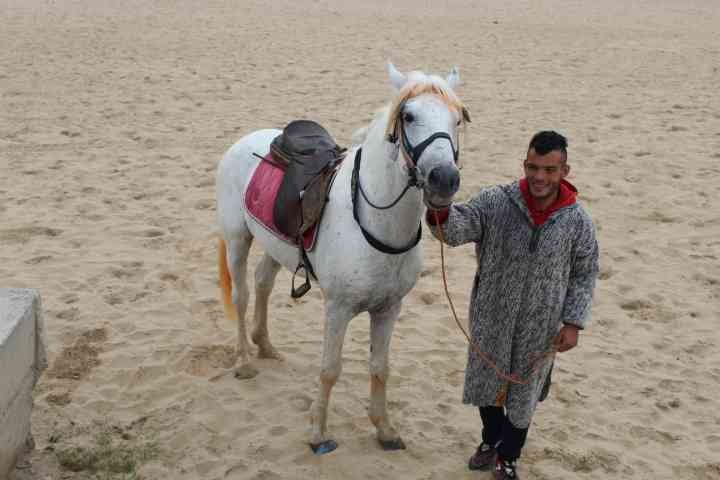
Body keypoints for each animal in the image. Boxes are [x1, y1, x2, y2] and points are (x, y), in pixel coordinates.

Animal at [215, 63, 469, 454]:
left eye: (457, 119)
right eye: (409, 116)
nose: (444, 179)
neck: (376, 221)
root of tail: (247, 139)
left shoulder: (389, 309)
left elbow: (380, 367)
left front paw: (385, 430)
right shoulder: (338, 308)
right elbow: (329, 369)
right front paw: (318, 434)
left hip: (275, 244)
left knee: (262, 283)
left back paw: (266, 346)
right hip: (237, 239)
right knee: (241, 295)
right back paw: (244, 360)